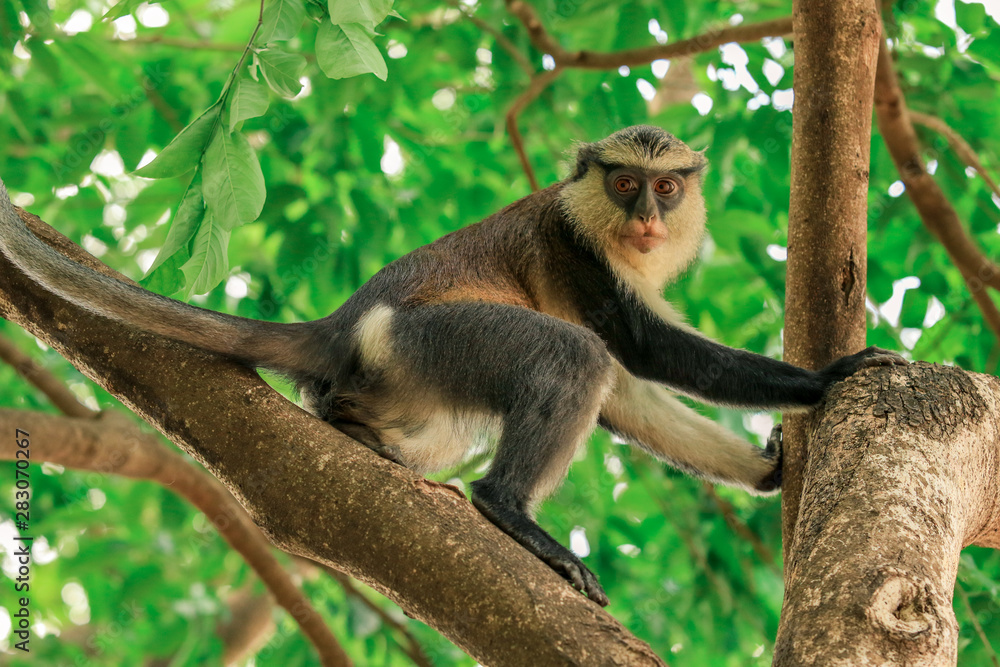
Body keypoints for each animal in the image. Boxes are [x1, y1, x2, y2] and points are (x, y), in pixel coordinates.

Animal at [0, 125, 905, 607]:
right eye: (624, 184)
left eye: (667, 188)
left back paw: (357, 429)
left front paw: (765, 468)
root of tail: (343, 323)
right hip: (426, 339)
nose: (648, 216)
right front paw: (828, 379)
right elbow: (639, 353)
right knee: (568, 355)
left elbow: (627, 394)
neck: (604, 232)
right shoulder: (573, 248)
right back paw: (507, 509)